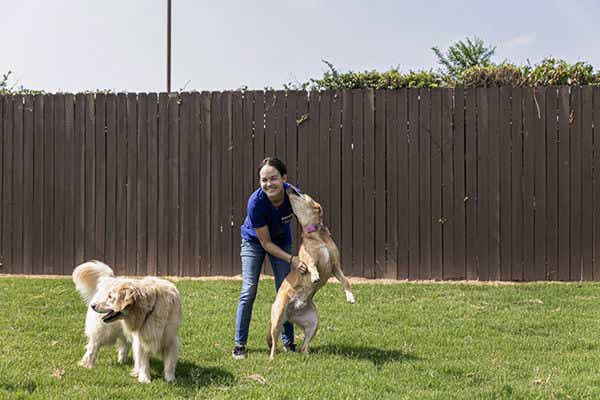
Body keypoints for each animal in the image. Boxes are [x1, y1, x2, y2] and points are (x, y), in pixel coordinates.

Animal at [268, 186, 356, 360]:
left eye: (301, 192)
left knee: (304, 345)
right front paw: (315, 275)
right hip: (277, 315)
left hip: (313, 322)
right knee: (274, 342)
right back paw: (272, 358)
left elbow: (346, 281)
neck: (316, 233)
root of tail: (290, 315)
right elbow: (311, 264)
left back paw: (307, 355)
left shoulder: (335, 266)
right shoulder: (307, 258)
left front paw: (350, 297)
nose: (288, 187)